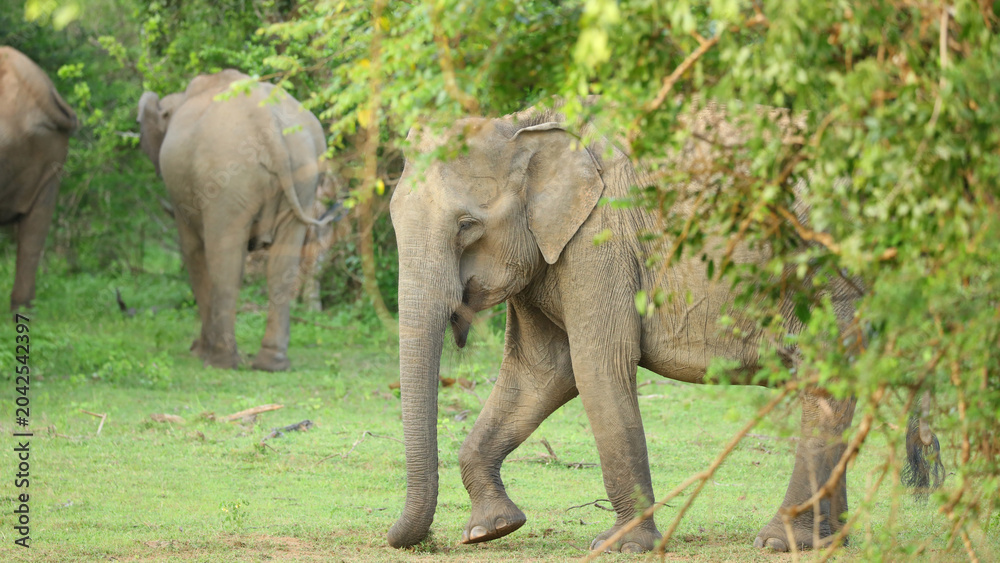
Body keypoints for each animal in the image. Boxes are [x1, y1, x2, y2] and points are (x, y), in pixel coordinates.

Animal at [138, 69, 330, 371]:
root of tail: (267, 122)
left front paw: (197, 351)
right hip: (304, 174)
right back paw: (271, 364)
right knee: (281, 265)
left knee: (224, 262)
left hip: (226, 177)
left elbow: (192, 250)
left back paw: (220, 361)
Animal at [386, 103, 868, 553]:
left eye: (467, 226)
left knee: (828, 376)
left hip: (828, 276)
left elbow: (597, 366)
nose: (400, 538)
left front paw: (623, 546)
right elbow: (540, 373)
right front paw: (489, 530)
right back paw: (831, 538)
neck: (525, 126)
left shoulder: (599, 240)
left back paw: (778, 541)